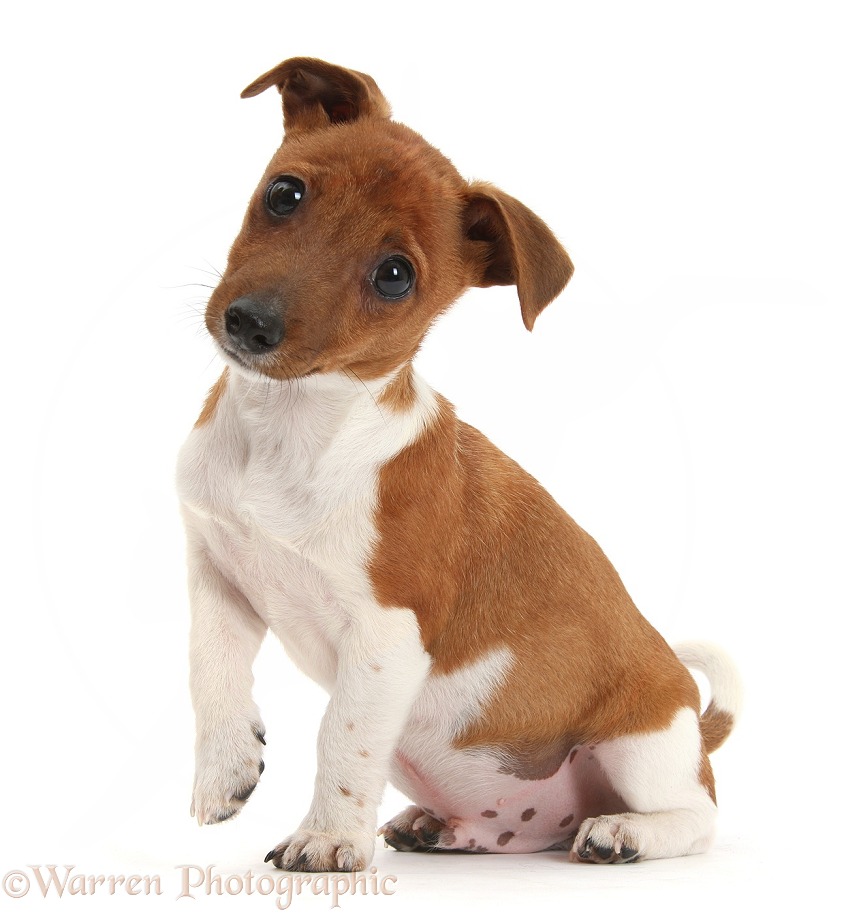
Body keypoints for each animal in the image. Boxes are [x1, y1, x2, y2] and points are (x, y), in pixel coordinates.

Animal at [175, 55, 740, 868]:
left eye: (394, 275)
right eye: (285, 194)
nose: (250, 323)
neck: (290, 433)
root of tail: (694, 723)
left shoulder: (386, 636)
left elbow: (341, 737)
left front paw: (326, 837)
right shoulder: (216, 572)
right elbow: (210, 671)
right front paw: (225, 769)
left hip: (639, 743)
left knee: (696, 817)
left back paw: (624, 833)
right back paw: (436, 825)